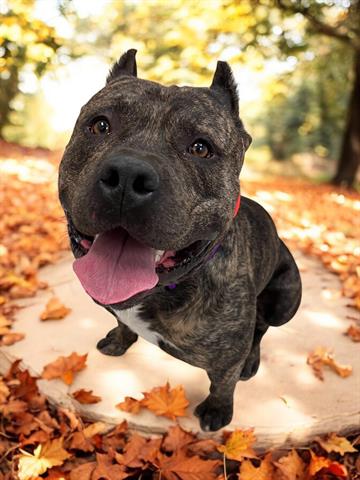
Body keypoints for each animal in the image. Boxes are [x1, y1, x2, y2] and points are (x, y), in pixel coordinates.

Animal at [58, 48, 300, 432]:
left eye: (201, 148)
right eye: (100, 125)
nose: (128, 174)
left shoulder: (225, 359)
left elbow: (223, 381)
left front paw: (217, 409)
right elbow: (122, 322)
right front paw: (119, 339)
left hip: (286, 300)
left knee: (262, 327)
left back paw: (251, 360)